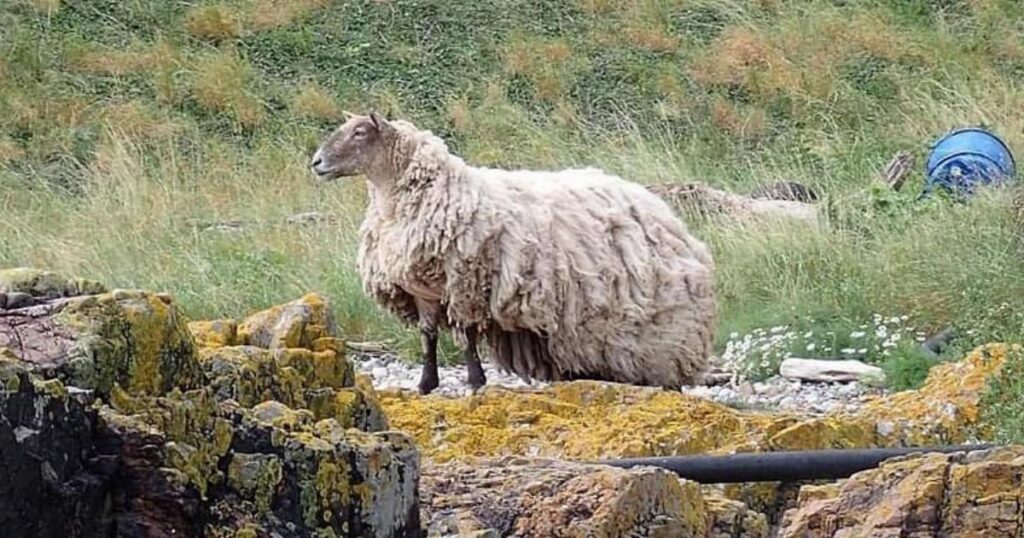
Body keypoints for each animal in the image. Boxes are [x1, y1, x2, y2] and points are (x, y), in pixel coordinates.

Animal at [310, 112, 717, 395]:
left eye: (360, 132)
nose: (316, 162)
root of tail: (668, 216)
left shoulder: (465, 282)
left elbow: (467, 336)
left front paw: (475, 381)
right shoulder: (422, 290)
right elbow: (428, 337)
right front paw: (426, 384)